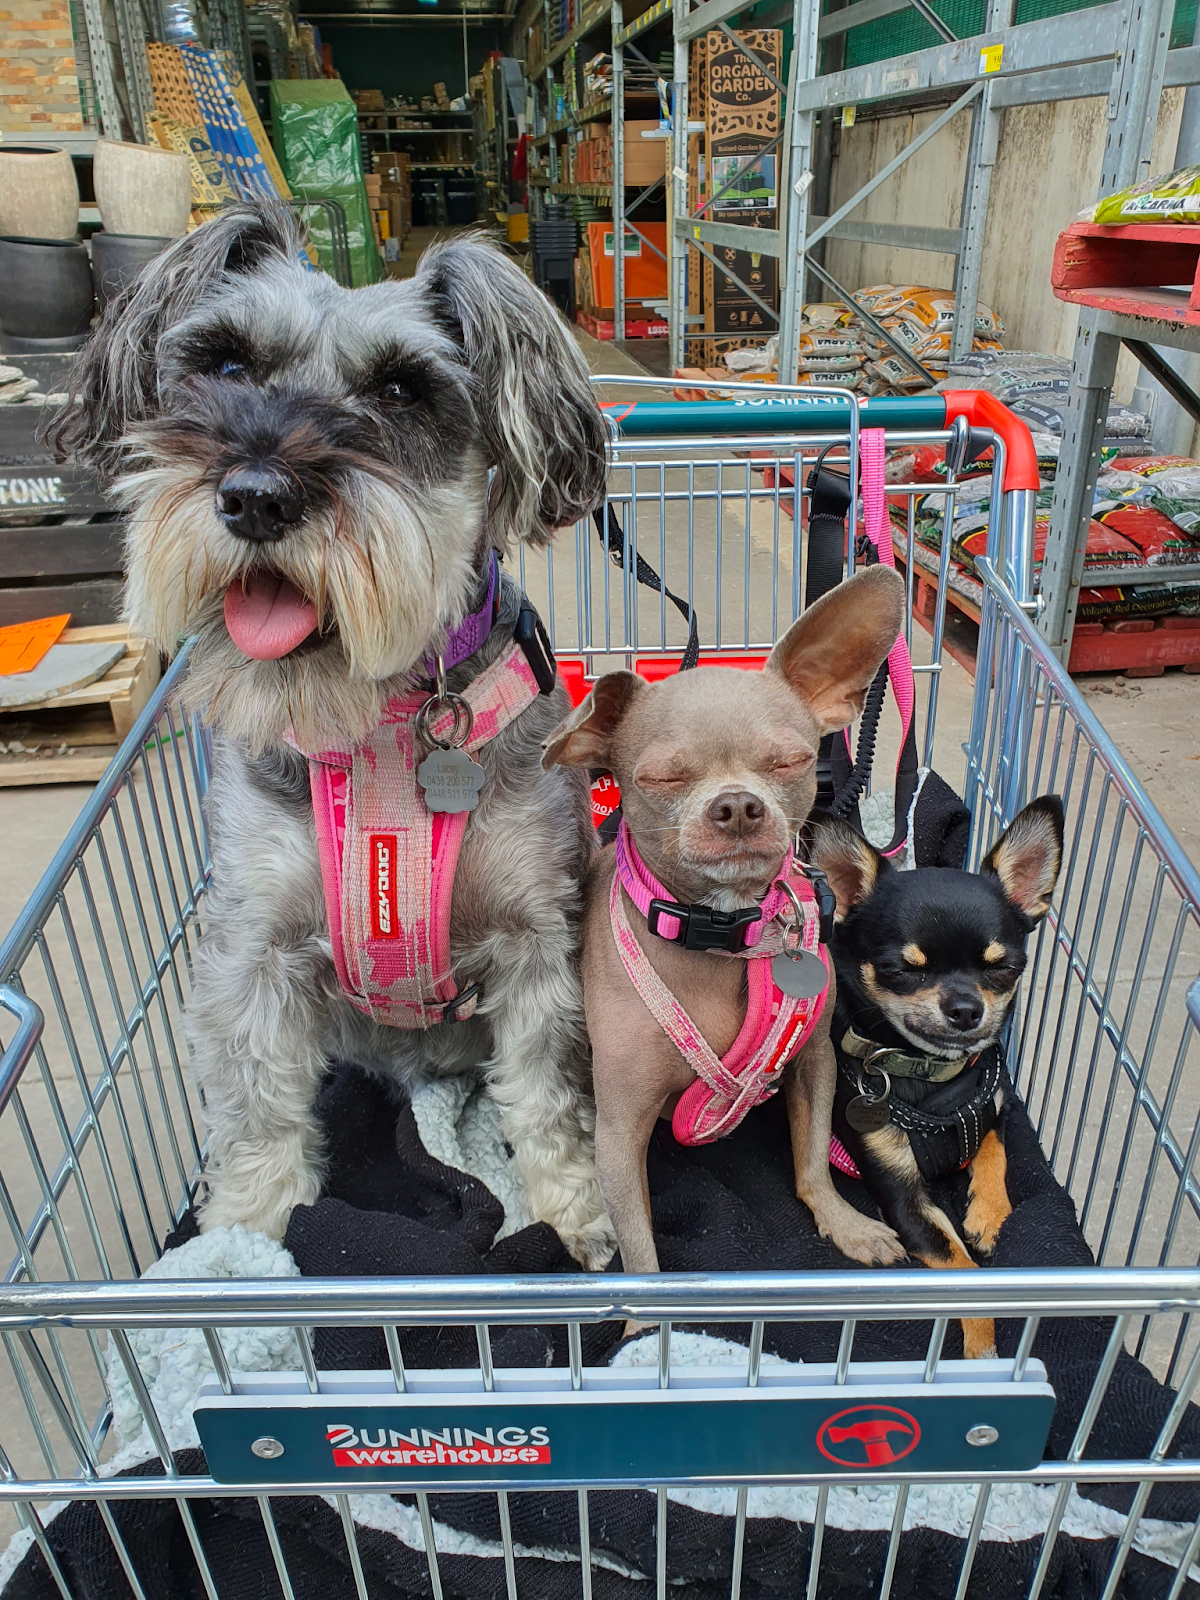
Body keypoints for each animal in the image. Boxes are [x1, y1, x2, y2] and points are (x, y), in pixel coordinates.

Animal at [56, 206, 620, 1267]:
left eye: (400, 389)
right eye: (226, 363)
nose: (255, 495)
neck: (381, 727)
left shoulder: (537, 943)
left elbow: (548, 1094)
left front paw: (570, 1214)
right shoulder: (253, 952)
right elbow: (257, 1110)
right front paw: (242, 1241)